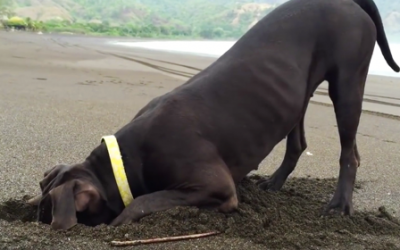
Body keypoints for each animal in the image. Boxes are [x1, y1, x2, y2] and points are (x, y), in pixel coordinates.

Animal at [27, 0, 396, 230]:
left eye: (47, 215)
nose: (39, 218)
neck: (124, 161)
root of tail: (348, 2)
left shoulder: (214, 186)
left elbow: (143, 201)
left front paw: (121, 220)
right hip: (299, 91)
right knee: (298, 141)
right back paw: (274, 183)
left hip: (347, 80)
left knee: (349, 152)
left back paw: (339, 204)